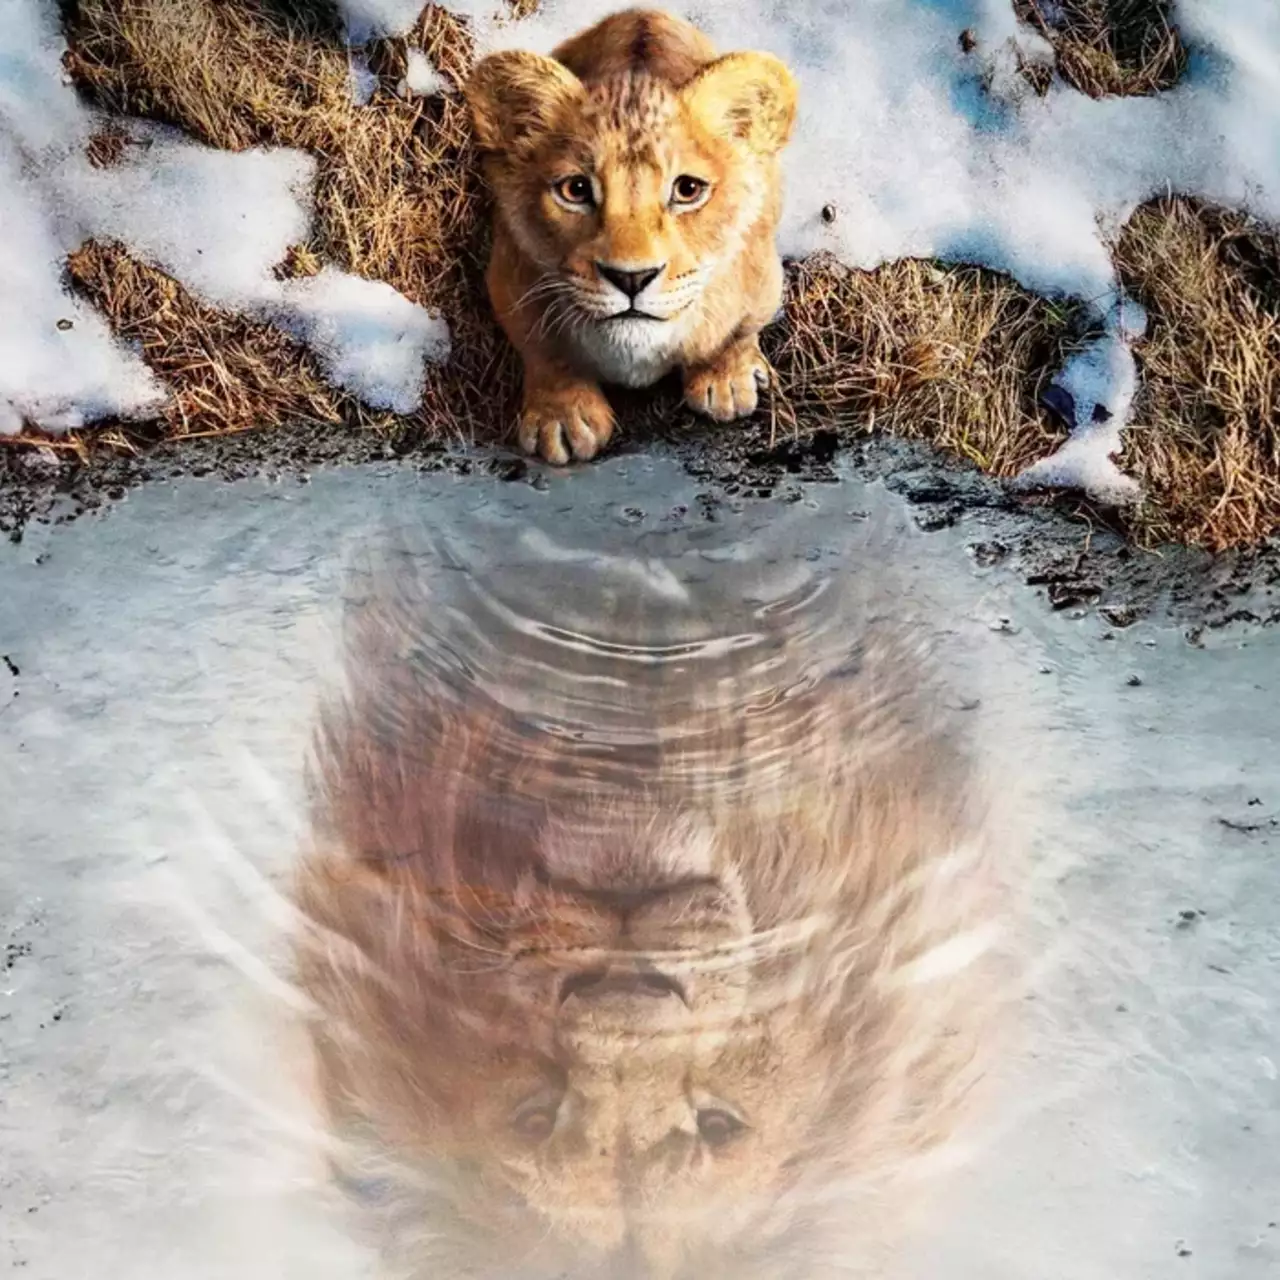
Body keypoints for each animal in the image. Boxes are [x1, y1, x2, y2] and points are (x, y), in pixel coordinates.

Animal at [464, 9, 798, 465]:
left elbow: (737, 332)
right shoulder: (509, 278)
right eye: (575, 190)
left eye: (688, 190)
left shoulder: (762, 277)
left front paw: (726, 380)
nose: (631, 278)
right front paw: (562, 418)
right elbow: (544, 351)